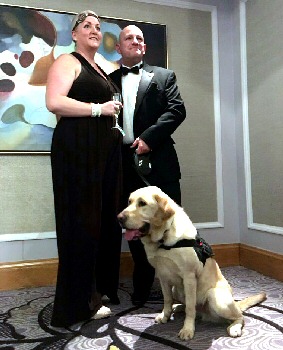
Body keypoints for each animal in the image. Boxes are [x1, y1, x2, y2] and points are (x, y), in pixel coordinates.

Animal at [118, 187, 268, 340]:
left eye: (142, 203)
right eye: (129, 202)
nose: (119, 218)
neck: (164, 239)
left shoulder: (189, 277)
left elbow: (190, 308)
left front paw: (187, 329)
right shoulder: (163, 276)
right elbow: (167, 299)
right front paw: (165, 315)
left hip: (215, 297)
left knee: (239, 316)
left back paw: (234, 327)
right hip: (176, 289)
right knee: (183, 304)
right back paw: (177, 307)